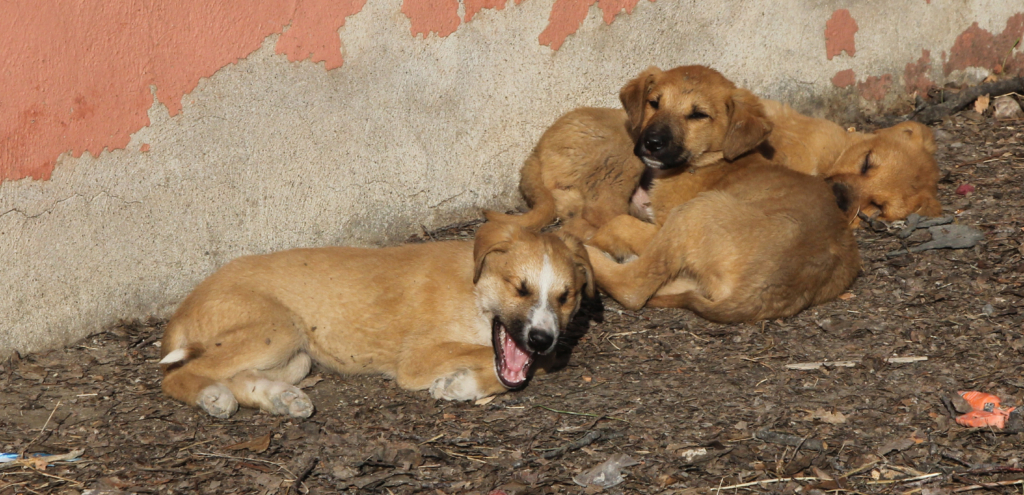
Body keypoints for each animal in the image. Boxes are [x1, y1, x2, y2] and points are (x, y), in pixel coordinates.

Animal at [158, 222, 593, 420]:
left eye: (566, 296)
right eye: (520, 289)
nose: (541, 338)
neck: (472, 290)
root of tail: (183, 307)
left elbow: (528, 367)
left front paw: (461, 385)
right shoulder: (416, 359)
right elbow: (525, 364)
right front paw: (464, 382)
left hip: (296, 355)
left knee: (235, 374)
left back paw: (280, 398)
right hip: (279, 330)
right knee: (179, 375)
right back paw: (211, 396)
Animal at [581, 64, 860, 321]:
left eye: (698, 115)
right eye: (654, 103)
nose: (652, 143)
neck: (708, 162)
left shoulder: (659, 226)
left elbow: (619, 223)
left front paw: (597, 239)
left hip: (695, 211)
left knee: (634, 286)